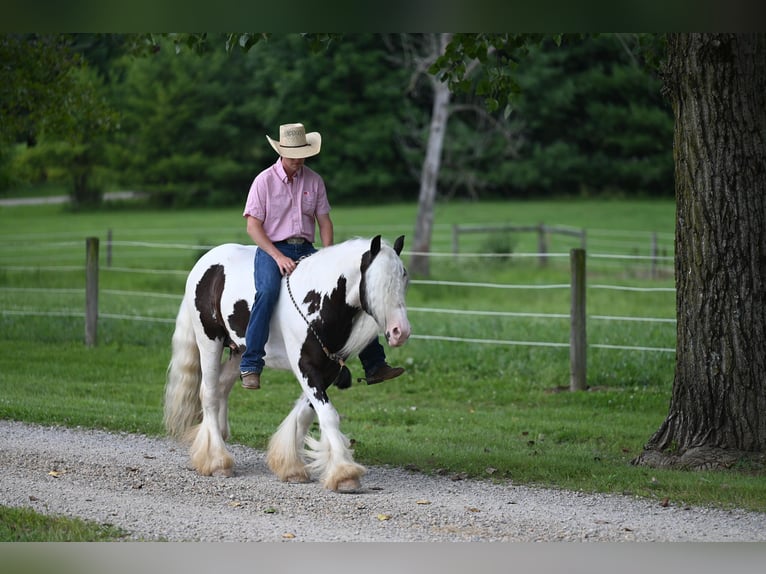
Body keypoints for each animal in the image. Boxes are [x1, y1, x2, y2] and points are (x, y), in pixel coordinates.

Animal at [164, 236, 412, 492]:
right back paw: (217, 461)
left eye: (403, 276)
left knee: (222, 387)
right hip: (209, 340)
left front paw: (291, 465)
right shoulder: (305, 366)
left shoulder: (329, 369)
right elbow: (328, 415)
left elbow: (305, 414)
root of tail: (205, 262)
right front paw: (344, 474)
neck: (319, 300)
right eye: (378, 280)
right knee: (210, 394)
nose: (400, 331)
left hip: (240, 351)